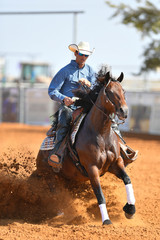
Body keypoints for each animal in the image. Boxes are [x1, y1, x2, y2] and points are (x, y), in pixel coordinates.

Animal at [36, 69, 136, 225]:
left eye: (123, 91)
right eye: (109, 91)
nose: (124, 111)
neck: (100, 133)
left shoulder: (116, 163)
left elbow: (127, 179)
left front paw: (130, 209)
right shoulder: (92, 168)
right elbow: (99, 194)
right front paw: (106, 220)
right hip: (49, 176)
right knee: (55, 193)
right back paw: (60, 212)